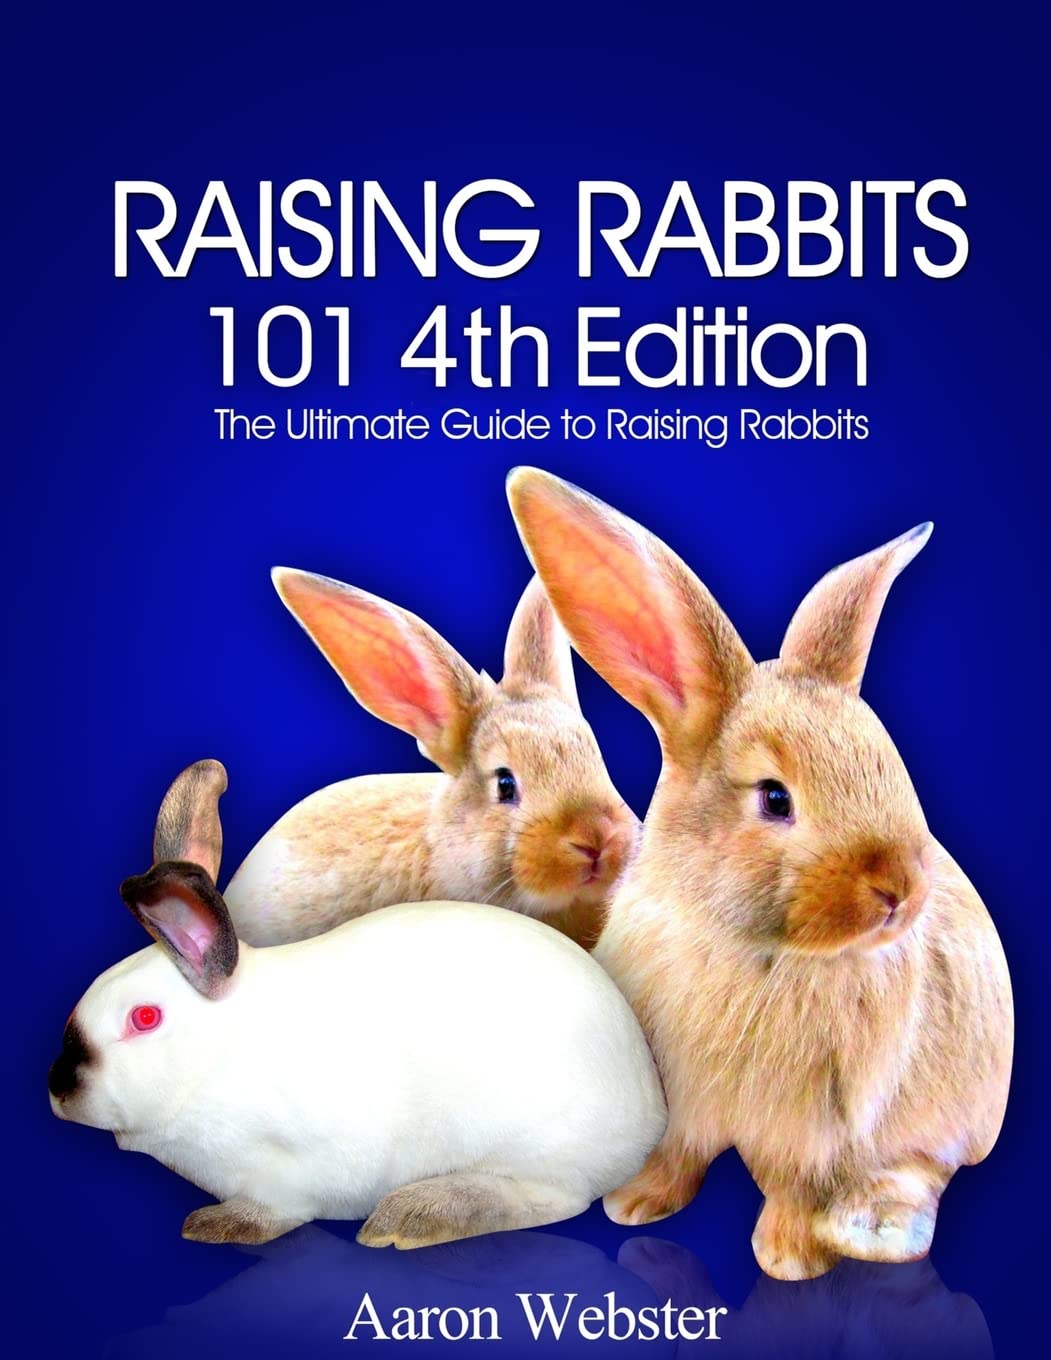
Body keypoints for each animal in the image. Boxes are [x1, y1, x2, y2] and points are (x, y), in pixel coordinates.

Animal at [48, 758, 667, 1247]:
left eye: (144, 1018)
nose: (58, 1091)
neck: (221, 1051)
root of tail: (652, 1113)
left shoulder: (293, 1168)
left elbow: (279, 1210)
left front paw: (220, 1224)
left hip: (532, 1140)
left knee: (555, 1199)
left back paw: (414, 1215)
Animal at [507, 468, 1012, 1282]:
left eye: (887, 763)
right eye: (775, 798)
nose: (900, 890)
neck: (749, 944)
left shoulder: (815, 1129)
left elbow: (792, 1184)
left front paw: (788, 1257)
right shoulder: (680, 1106)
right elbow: (679, 1155)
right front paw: (636, 1206)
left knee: (924, 1169)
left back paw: (875, 1223)